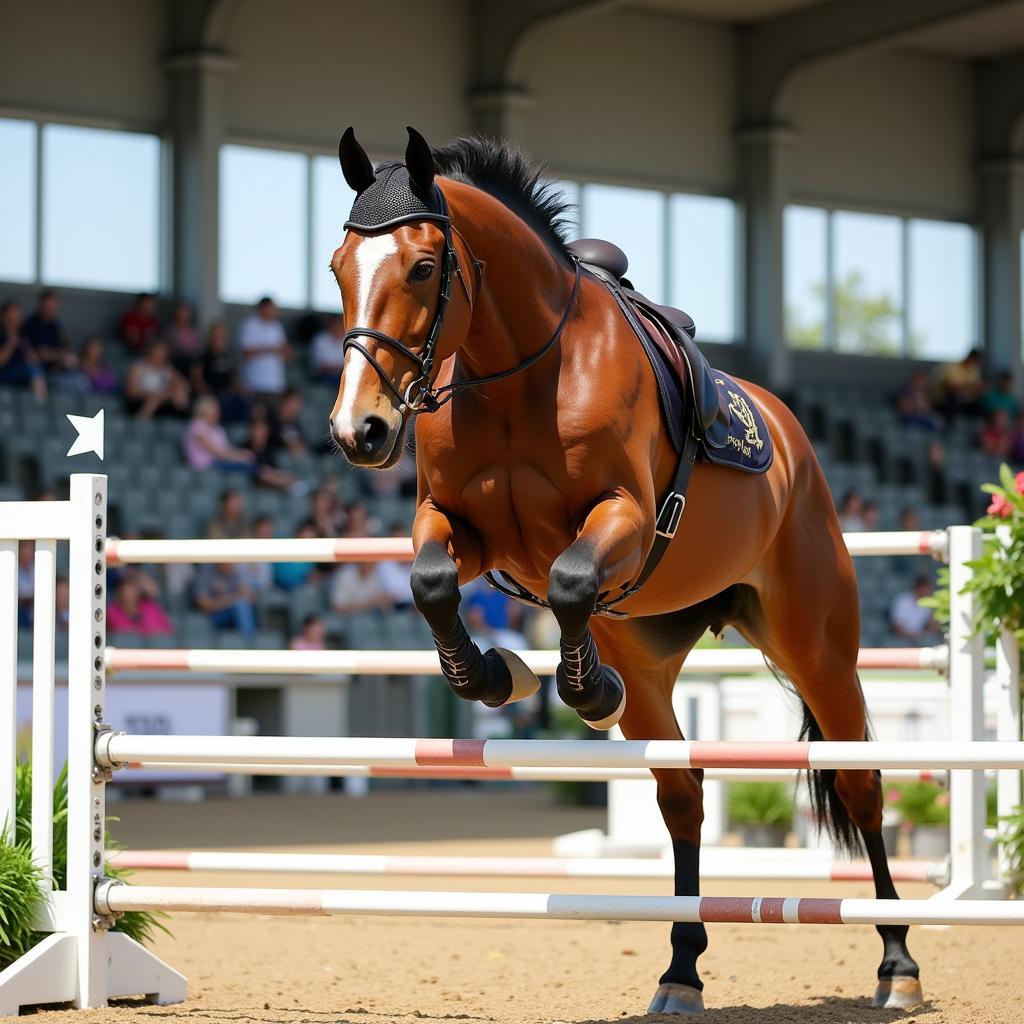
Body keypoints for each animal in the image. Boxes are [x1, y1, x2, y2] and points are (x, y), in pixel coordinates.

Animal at [325, 128, 921, 1015]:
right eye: (338, 267)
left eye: (424, 268)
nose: (357, 431)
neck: (520, 370)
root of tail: (792, 438)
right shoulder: (460, 527)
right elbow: (431, 585)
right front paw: (496, 676)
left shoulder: (627, 522)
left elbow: (571, 580)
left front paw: (578, 689)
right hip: (653, 667)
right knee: (684, 799)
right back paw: (680, 972)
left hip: (818, 652)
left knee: (860, 786)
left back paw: (897, 964)